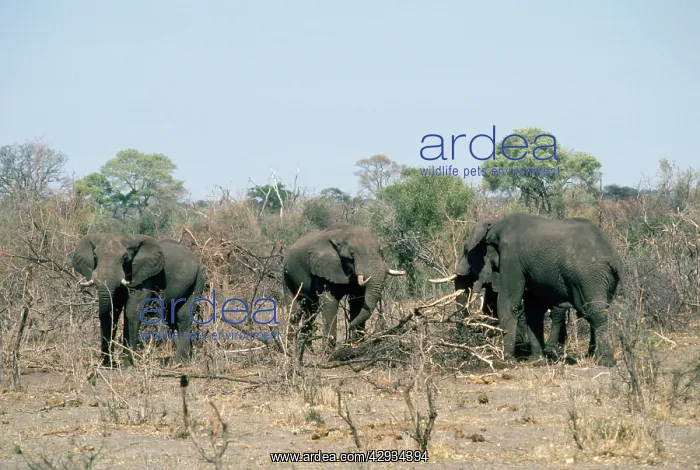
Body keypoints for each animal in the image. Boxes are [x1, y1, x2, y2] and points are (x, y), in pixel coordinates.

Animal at [72, 233, 206, 368]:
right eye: (95, 256)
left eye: (125, 257)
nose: (109, 362)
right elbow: (113, 310)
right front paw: (109, 364)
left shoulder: (143, 276)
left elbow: (132, 311)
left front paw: (128, 364)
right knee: (171, 318)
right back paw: (186, 358)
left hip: (197, 281)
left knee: (183, 316)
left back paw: (179, 361)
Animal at [283, 223, 405, 360]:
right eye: (351, 255)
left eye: (380, 251)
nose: (349, 327)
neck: (341, 234)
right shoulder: (322, 270)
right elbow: (330, 302)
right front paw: (328, 354)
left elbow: (358, 301)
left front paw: (356, 347)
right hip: (286, 275)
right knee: (294, 309)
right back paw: (290, 351)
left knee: (310, 310)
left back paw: (308, 352)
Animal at [429, 213, 623, 367]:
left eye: (466, 250)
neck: (495, 225)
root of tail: (613, 256)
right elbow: (533, 309)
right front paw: (536, 361)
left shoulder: (512, 259)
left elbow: (508, 303)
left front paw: (506, 361)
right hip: (603, 278)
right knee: (592, 311)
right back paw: (591, 356)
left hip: (589, 275)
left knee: (595, 311)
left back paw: (605, 361)